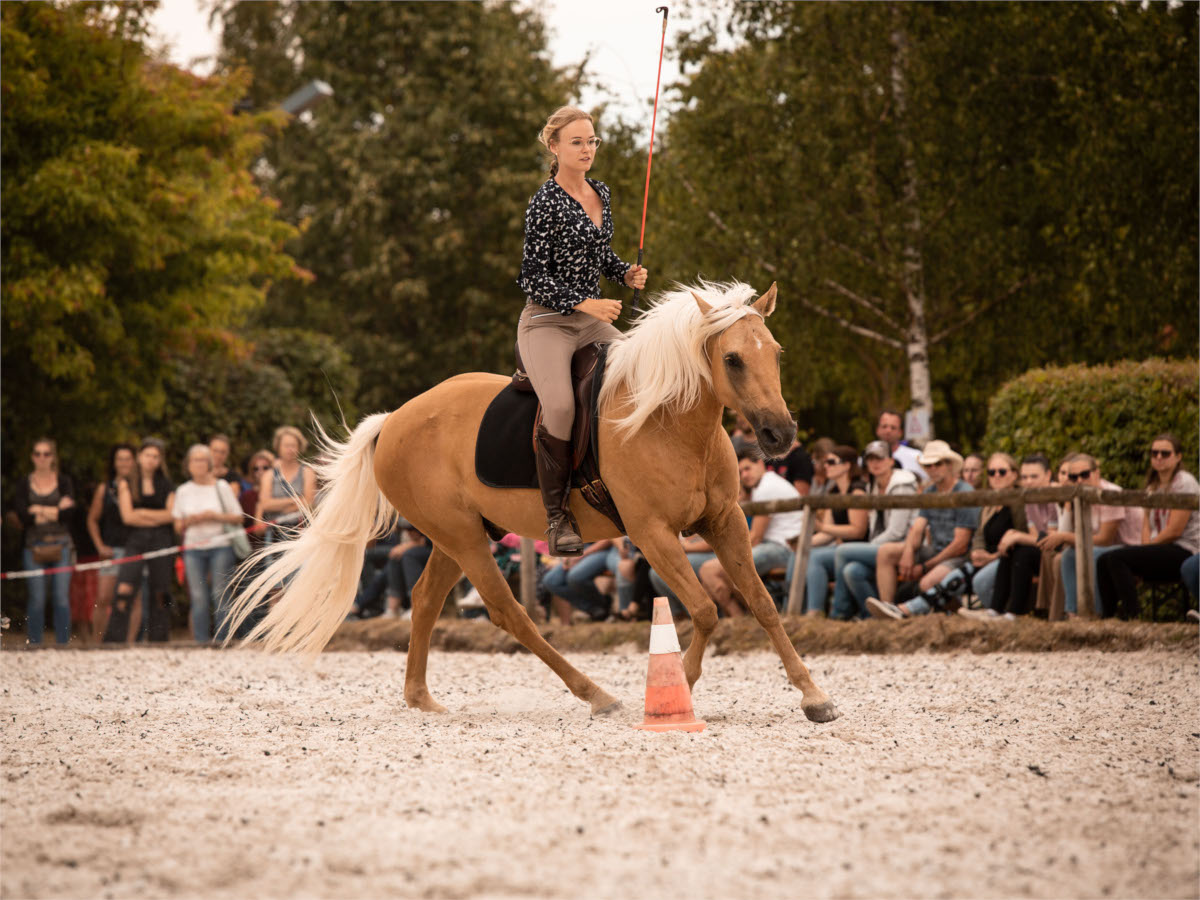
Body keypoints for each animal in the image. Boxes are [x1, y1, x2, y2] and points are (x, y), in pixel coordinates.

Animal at [226, 282, 844, 724]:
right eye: (733, 359)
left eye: (776, 353)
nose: (780, 435)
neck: (664, 420)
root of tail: (394, 420)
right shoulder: (652, 534)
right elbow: (707, 609)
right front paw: (678, 692)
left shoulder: (725, 521)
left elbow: (761, 604)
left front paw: (814, 696)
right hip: (465, 539)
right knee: (510, 613)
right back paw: (596, 695)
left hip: (459, 537)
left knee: (424, 600)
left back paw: (421, 698)